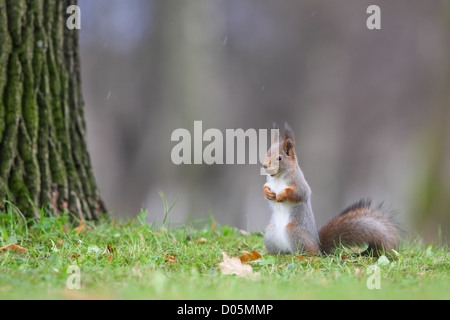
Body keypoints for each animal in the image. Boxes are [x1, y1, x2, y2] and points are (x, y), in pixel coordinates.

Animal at [264, 123, 400, 258]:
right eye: (267, 152)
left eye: (280, 158)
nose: (264, 165)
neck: (278, 177)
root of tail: (318, 246)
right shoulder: (269, 182)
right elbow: (265, 187)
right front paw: (268, 193)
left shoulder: (299, 183)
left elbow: (298, 193)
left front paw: (281, 196)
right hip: (270, 233)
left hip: (294, 232)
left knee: (310, 253)